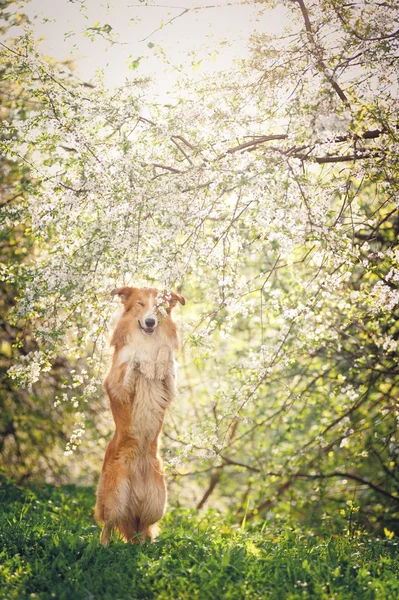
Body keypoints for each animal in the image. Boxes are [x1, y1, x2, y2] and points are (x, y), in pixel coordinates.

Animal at [95, 284, 186, 544]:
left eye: (159, 306)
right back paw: (101, 548)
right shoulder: (117, 387)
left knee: (144, 530)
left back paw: (147, 549)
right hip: (115, 497)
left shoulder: (169, 388)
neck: (148, 340)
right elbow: (135, 357)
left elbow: (167, 356)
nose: (150, 322)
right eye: (140, 304)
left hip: (157, 503)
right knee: (107, 526)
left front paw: (159, 361)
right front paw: (145, 362)